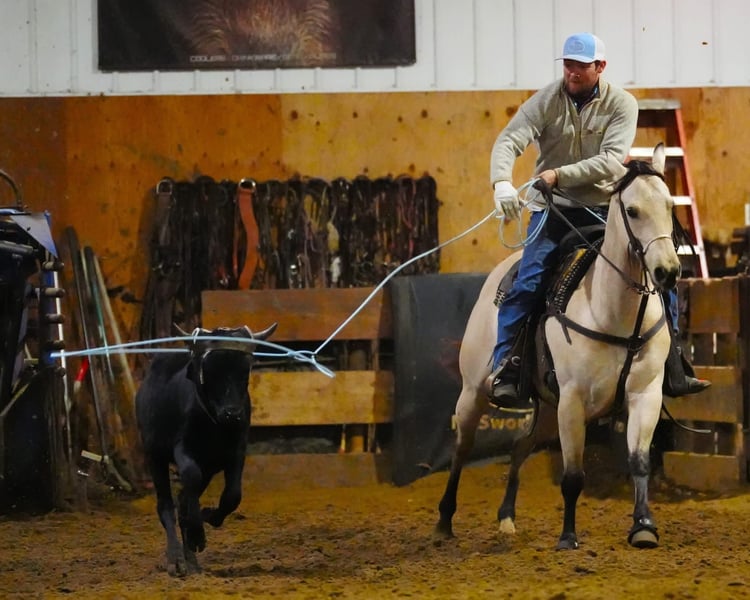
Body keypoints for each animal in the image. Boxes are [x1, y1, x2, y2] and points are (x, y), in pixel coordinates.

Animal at [136, 323, 276, 577]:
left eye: (245, 371)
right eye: (210, 372)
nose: (232, 413)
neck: (215, 426)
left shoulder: (236, 452)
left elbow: (232, 495)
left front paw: (207, 517)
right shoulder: (183, 448)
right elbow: (190, 476)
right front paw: (197, 535)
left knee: (183, 500)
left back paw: (191, 558)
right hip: (155, 456)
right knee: (167, 506)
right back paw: (176, 559)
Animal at [435, 143, 679, 550]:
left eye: (670, 205)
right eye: (632, 210)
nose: (669, 272)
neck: (614, 315)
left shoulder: (645, 394)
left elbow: (639, 462)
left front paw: (644, 527)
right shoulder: (573, 400)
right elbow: (573, 475)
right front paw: (568, 537)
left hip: (547, 408)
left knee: (519, 446)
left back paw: (506, 518)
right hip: (474, 392)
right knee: (462, 448)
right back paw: (443, 521)